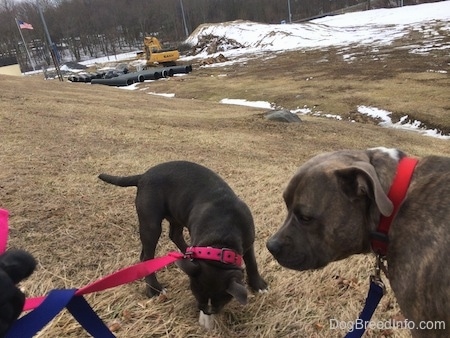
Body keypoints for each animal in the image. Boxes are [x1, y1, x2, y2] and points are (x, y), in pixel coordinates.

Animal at [98, 161, 268, 330]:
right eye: (199, 302)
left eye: (217, 307)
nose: (206, 315)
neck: (222, 235)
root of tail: (143, 176)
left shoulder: (249, 242)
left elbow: (252, 262)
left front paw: (258, 285)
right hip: (151, 223)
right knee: (147, 255)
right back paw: (154, 289)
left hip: (176, 215)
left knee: (173, 235)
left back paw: (187, 253)